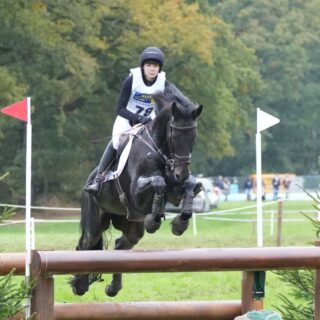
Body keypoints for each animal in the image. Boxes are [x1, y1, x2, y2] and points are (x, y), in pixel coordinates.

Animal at [72, 84, 202, 296]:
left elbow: (193, 185)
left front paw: (179, 223)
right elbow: (158, 182)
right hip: (95, 221)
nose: (181, 173)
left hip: (131, 225)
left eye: (193, 137)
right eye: (174, 135)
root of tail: (88, 181)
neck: (159, 148)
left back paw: (113, 288)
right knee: (86, 244)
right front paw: (154, 220)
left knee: (120, 246)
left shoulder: (176, 191)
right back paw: (80, 285)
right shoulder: (136, 193)